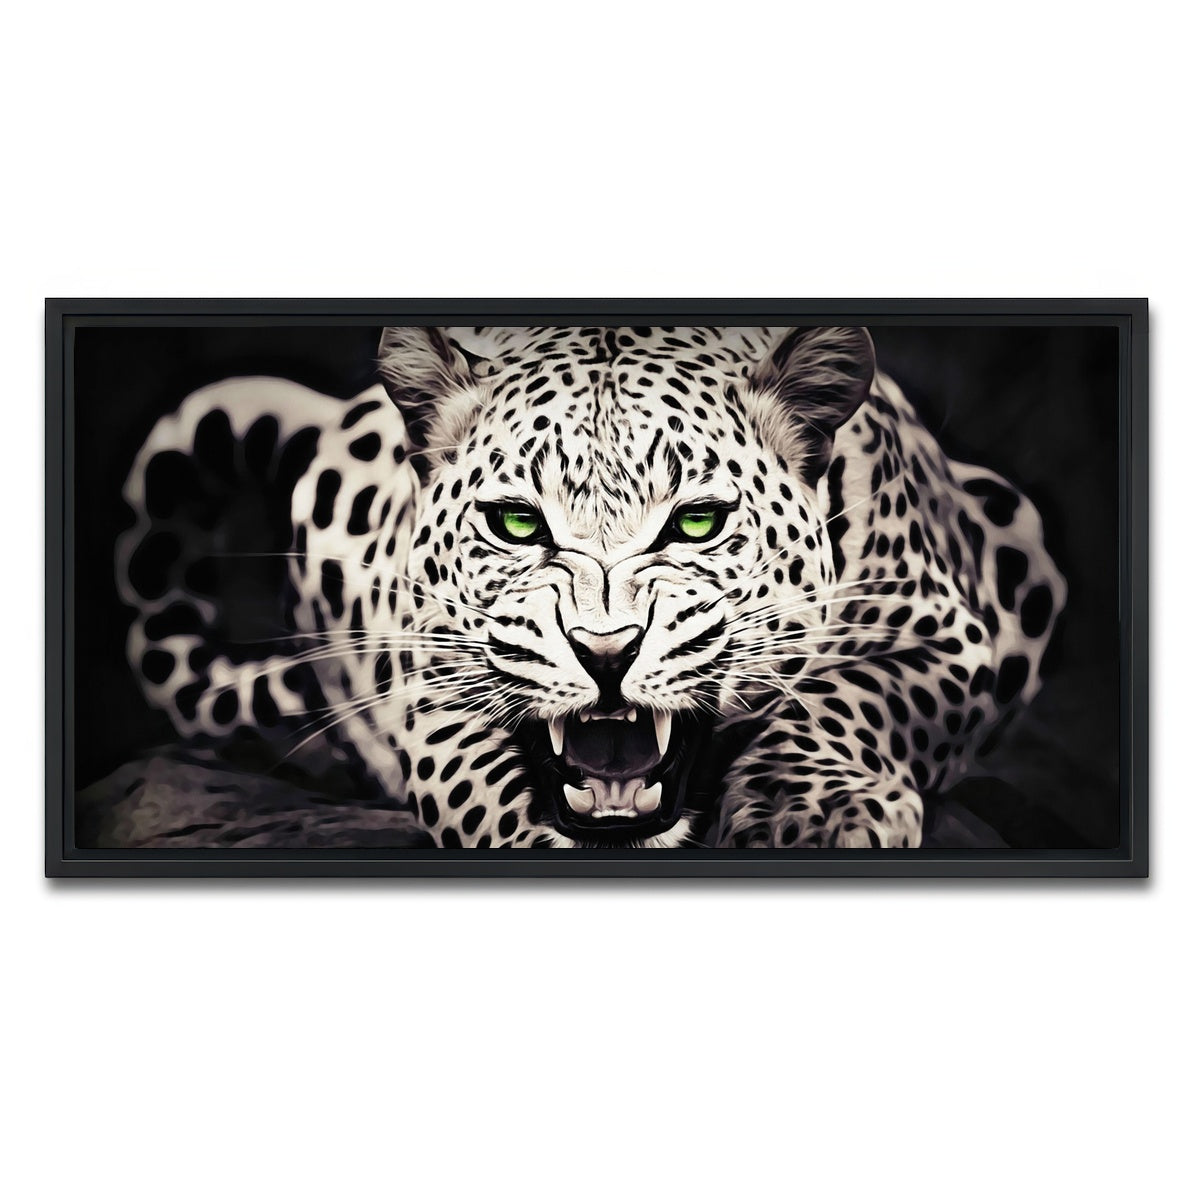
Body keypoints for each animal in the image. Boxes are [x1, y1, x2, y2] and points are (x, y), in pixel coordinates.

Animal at [116, 325, 1066, 849]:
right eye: (516, 523)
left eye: (696, 523)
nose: (605, 653)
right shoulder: (433, 680)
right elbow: (475, 778)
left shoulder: (948, 632)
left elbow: (854, 695)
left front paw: (814, 810)